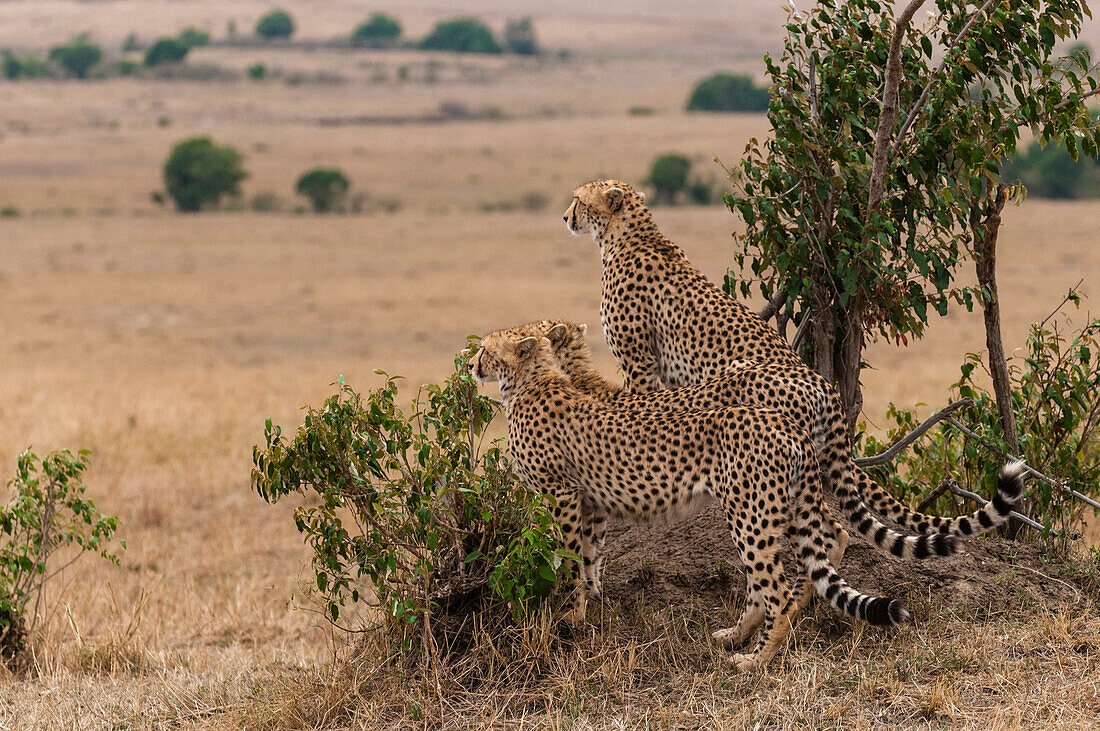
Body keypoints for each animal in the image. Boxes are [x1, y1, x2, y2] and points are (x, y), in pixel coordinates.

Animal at [468, 334, 906, 668]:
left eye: (486, 348)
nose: (471, 362)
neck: (538, 381)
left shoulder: (562, 494)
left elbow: (571, 559)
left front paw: (570, 618)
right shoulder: (590, 499)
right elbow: (590, 557)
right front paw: (590, 605)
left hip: (751, 513)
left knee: (777, 588)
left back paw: (756, 659)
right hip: (788, 503)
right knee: (824, 542)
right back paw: (738, 635)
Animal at [486, 318, 1025, 597]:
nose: (476, 361)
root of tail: (818, 381)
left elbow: (579, 552)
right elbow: (591, 553)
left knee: (821, 534)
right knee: (828, 532)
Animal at [563, 179, 1025, 538]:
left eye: (578, 199)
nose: (565, 217)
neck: (627, 234)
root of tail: (825, 386)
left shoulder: (639, 360)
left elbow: (636, 411)